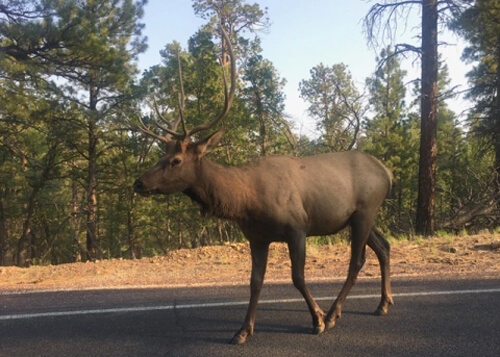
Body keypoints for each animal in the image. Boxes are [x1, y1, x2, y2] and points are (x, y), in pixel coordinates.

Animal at [134, 26, 394, 344]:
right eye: (161, 155)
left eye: (176, 160)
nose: (139, 182)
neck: (247, 202)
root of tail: (387, 172)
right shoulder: (257, 237)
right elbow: (254, 282)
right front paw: (243, 330)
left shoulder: (297, 227)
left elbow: (297, 277)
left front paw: (317, 319)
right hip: (360, 216)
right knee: (383, 246)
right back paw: (383, 304)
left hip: (365, 211)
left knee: (357, 261)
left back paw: (335, 314)